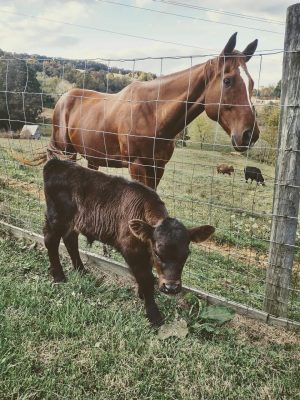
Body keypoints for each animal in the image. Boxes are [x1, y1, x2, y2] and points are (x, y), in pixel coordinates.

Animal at [32, 32, 260, 189]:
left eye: (251, 83)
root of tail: (64, 98)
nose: (250, 134)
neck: (154, 113)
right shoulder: (138, 166)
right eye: (228, 81)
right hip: (66, 152)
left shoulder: (158, 168)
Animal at [42, 159, 216, 328]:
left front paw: (141, 294)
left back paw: (81, 270)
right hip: (56, 218)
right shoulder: (131, 250)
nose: (171, 288)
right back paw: (59, 276)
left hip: (73, 222)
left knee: (70, 240)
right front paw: (153, 314)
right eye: (157, 252)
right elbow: (147, 279)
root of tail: (56, 162)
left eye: (186, 254)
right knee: (51, 240)